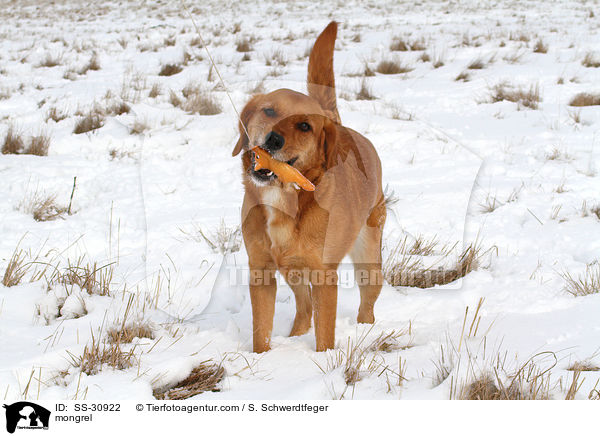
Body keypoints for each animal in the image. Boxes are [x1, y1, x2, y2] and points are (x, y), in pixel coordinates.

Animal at [232, 21, 386, 354]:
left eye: (304, 126)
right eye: (269, 111)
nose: (273, 140)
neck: (285, 200)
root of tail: (338, 124)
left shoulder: (324, 275)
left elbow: (325, 334)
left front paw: (324, 360)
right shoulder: (261, 271)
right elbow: (261, 331)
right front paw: (262, 359)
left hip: (368, 257)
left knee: (368, 300)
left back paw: (365, 329)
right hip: (292, 270)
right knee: (304, 309)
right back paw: (294, 337)